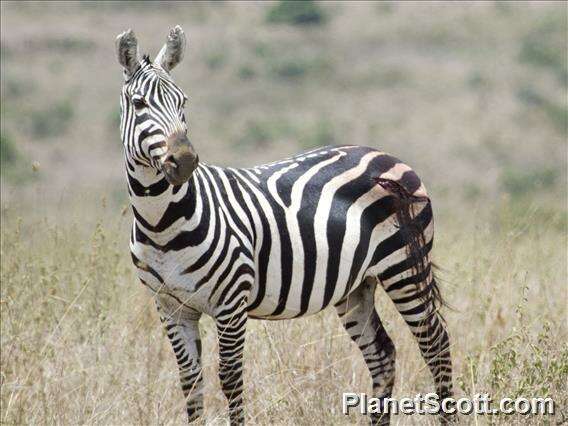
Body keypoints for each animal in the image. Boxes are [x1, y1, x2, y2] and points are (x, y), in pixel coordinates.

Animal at [117, 25, 454, 422]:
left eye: (183, 102)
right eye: (139, 104)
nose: (184, 161)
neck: (163, 224)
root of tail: (385, 154)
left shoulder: (231, 304)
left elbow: (230, 379)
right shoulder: (170, 307)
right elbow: (191, 383)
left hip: (405, 268)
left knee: (436, 344)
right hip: (358, 285)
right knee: (383, 355)